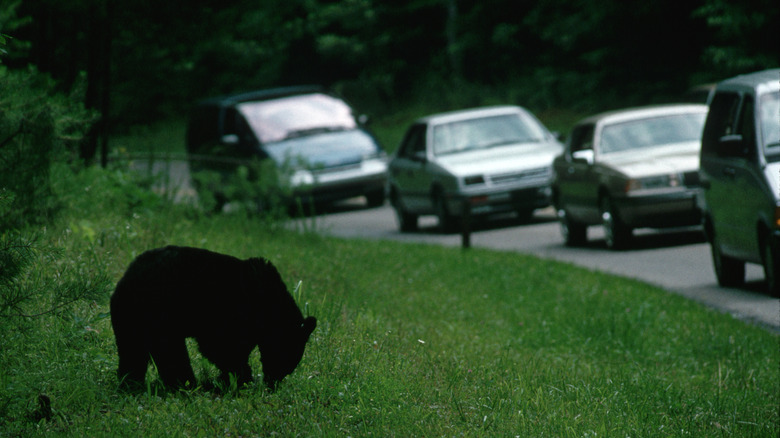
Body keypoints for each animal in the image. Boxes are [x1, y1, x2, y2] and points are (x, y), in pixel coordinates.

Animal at [109, 245, 316, 391]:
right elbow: (222, 346)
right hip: (158, 315)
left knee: (132, 351)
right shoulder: (231, 312)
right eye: (286, 359)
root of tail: (127, 279)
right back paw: (186, 384)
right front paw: (241, 379)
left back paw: (131, 382)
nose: (272, 383)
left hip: (130, 319)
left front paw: (229, 379)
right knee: (170, 352)